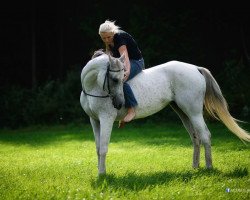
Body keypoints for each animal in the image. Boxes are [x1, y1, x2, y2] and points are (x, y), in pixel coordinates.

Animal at [80, 52, 250, 175]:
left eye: (122, 78)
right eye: (115, 79)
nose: (119, 103)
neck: (93, 88)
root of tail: (195, 68)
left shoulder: (106, 119)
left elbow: (103, 147)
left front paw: (102, 175)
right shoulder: (94, 120)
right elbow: (97, 148)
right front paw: (100, 171)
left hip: (194, 112)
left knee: (205, 135)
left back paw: (209, 168)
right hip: (183, 113)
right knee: (195, 137)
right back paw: (195, 167)